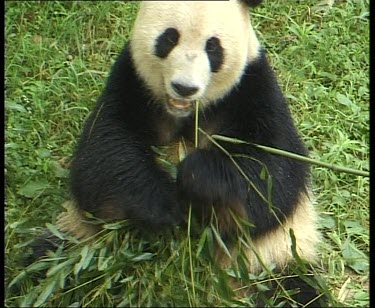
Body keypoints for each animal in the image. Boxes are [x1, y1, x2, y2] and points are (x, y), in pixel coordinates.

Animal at [43, 0, 324, 306]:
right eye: (169, 38)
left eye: (213, 47)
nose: (184, 88)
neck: (185, 113)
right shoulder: (131, 83)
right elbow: (103, 157)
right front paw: (165, 207)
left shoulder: (251, 88)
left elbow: (272, 176)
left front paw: (196, 176)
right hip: (78, 238)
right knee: (46, 261)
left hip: (271, 258)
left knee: (293, 290)